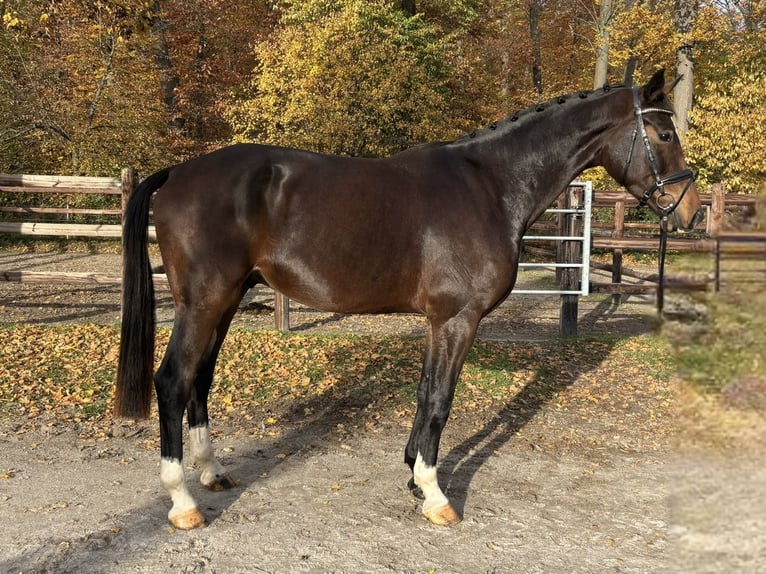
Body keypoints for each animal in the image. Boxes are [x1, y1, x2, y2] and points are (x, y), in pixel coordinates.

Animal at [115, 69, 704, 530]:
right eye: (663, 132)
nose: (691, 211)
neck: (490, 188)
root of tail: (178, 171)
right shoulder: (457, 319)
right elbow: (440, 400)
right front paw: (436, 494)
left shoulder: (438, 322)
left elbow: (425, 395)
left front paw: (414, 478)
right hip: (203, 302)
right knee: (173, 381)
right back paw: (183, 502)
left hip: (226, 300)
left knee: (200, 380)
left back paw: (213, 473)